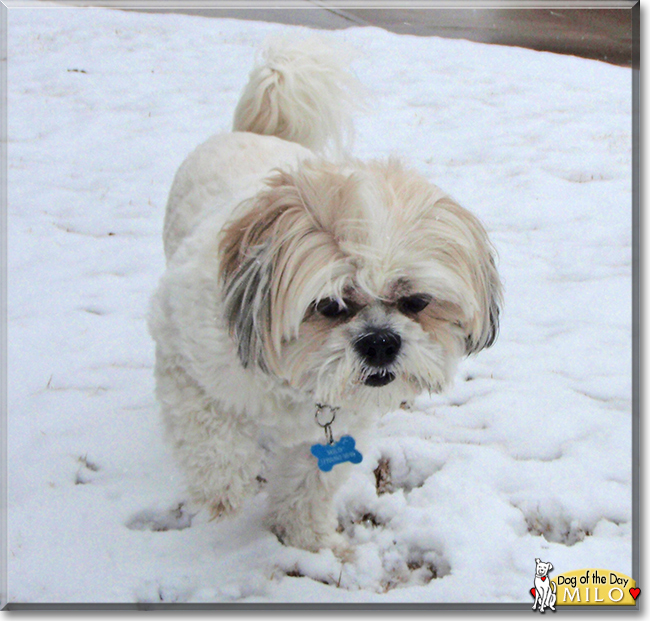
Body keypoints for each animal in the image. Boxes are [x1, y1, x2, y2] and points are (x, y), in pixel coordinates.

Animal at [148, 37, 502, 552]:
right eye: (330, 305)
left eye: (416, 302)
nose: (381, 342)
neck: (296, 382)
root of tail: (255, 132)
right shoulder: (183, 356)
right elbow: (209, 433)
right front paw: (224, 486)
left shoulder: (338, 433)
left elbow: (309, 482)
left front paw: (303, 534)